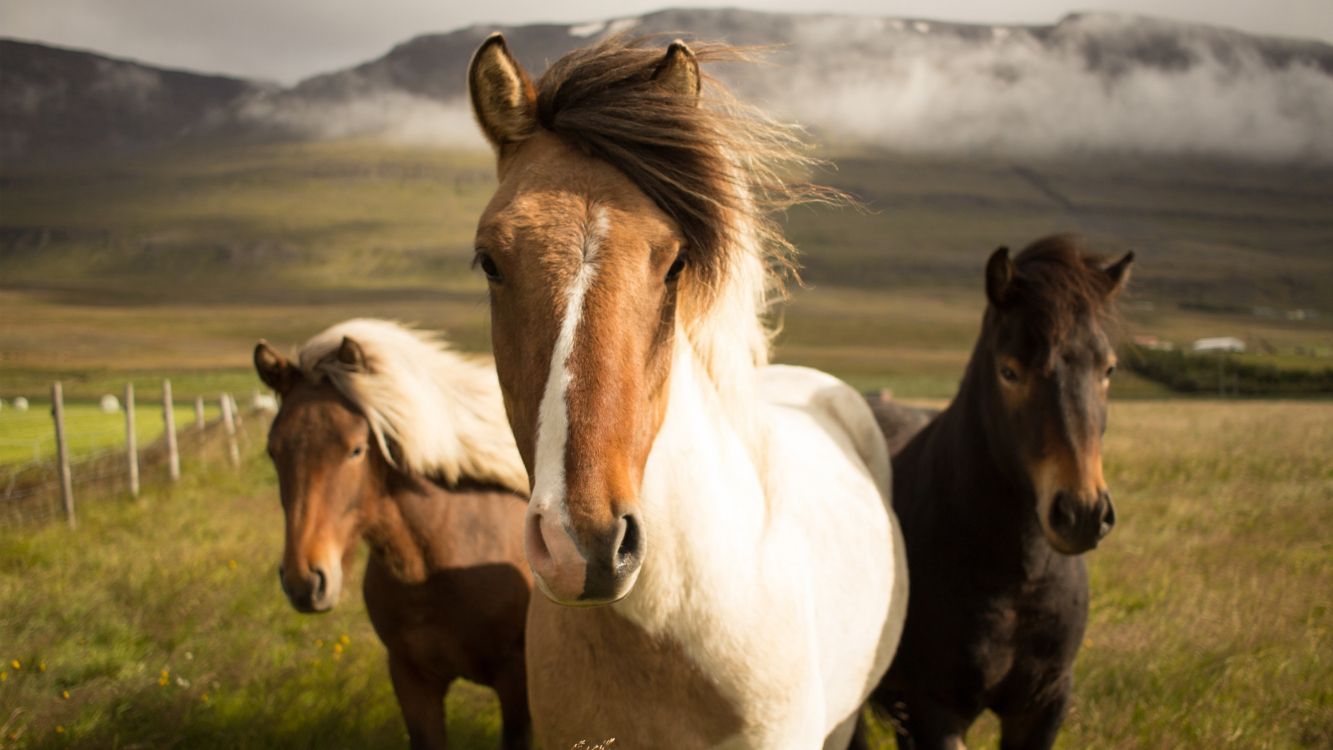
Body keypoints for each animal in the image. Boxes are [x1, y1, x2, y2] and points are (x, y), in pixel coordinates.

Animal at [866, 237, 1133, 750]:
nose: (1082, 513)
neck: (1015, 579)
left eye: (1108, 368)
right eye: (1010, 372)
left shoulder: (1043, 703)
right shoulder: (933, 709)